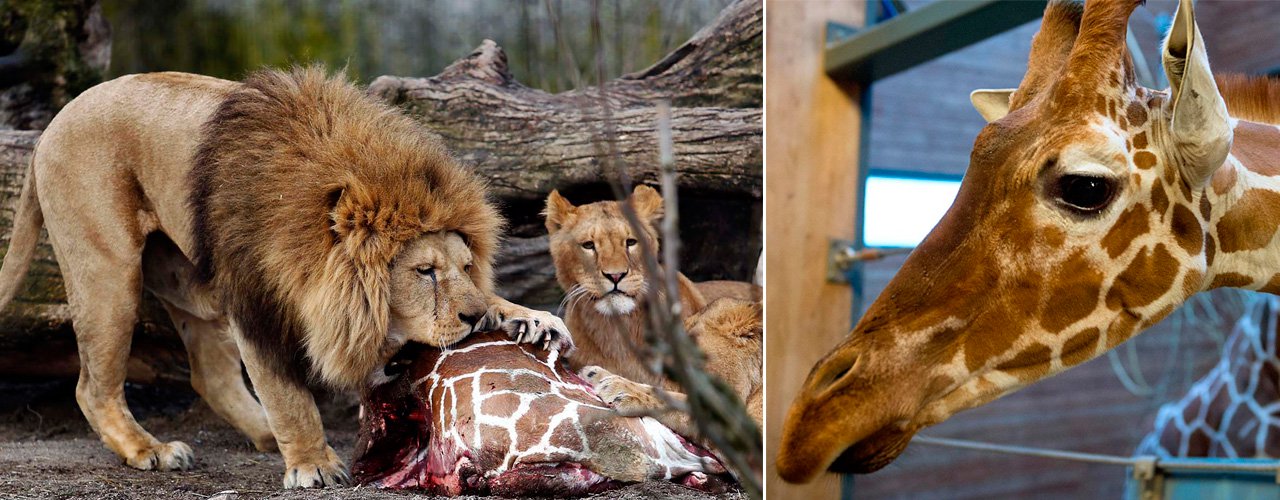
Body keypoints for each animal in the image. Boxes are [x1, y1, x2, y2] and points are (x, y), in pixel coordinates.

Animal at [0, 66, 570, 488]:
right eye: (423, 271)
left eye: (466, 266)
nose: (473, 317)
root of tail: (49, 128)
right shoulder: (256, 302)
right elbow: (287, 395)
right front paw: (313, 464)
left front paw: (527, 318)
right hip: (110, 272)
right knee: (93, 387)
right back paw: (151, 450)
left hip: (189, 277)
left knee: (208, 373)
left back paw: (260, 435)